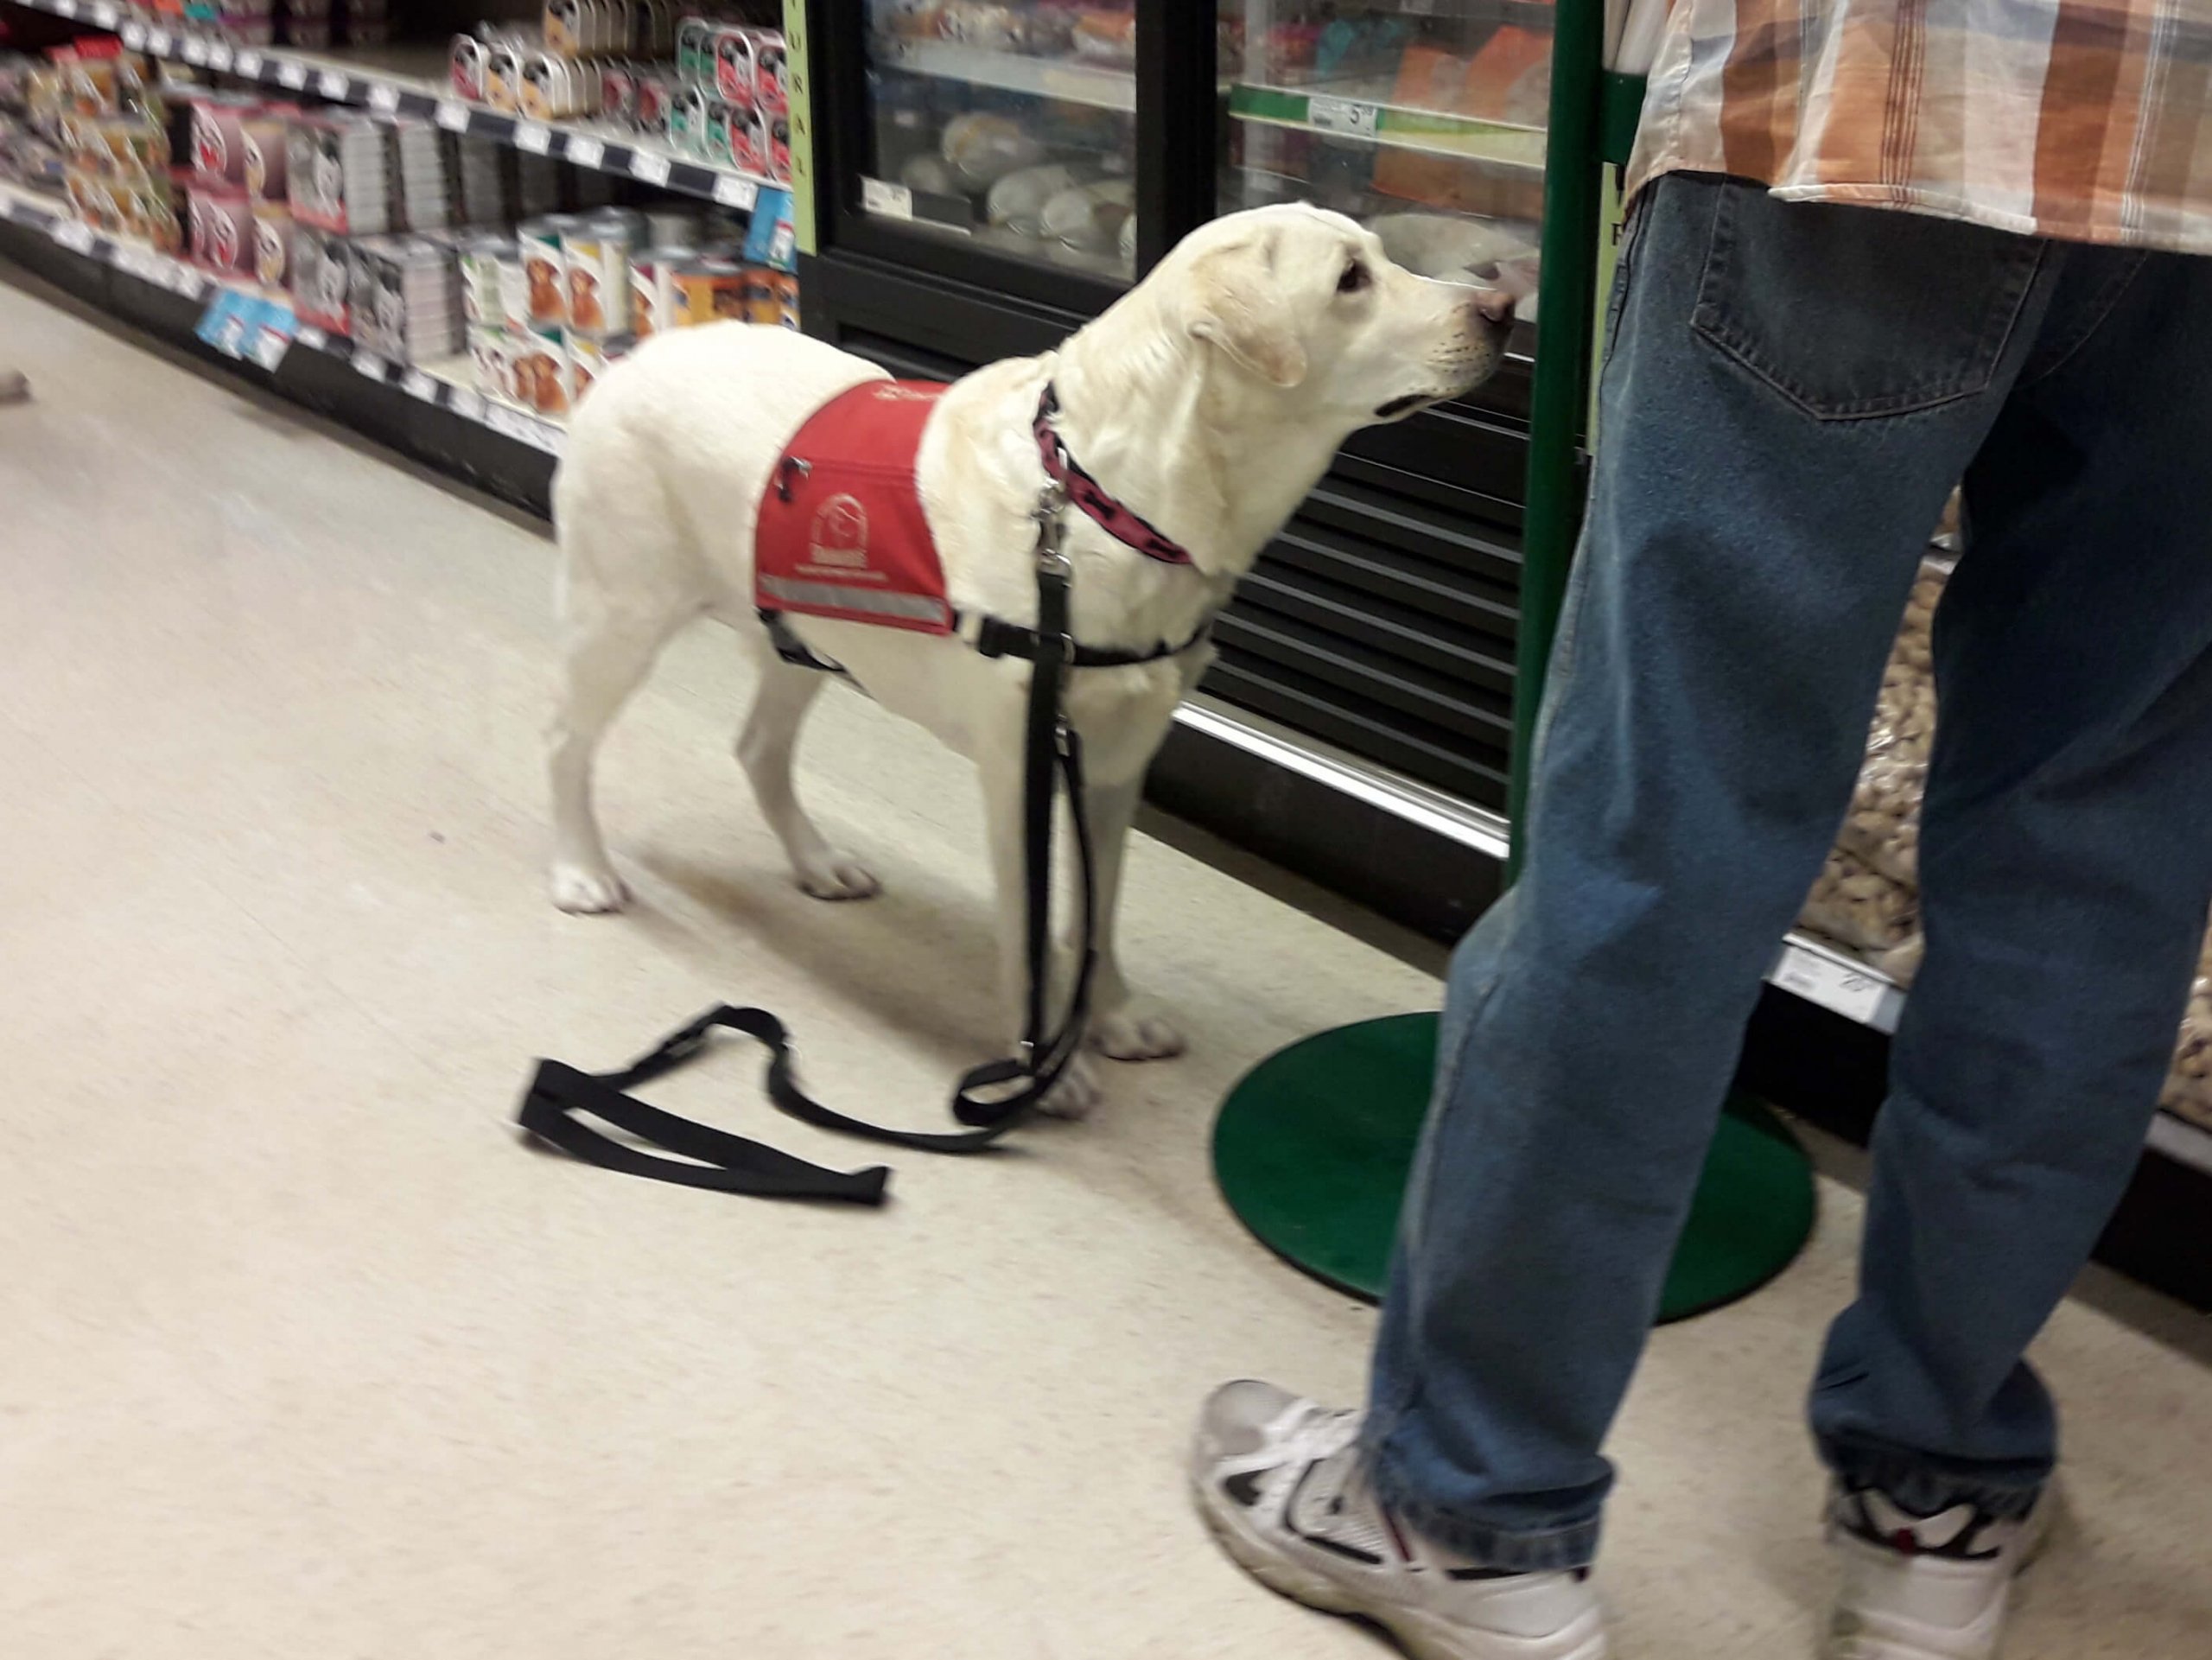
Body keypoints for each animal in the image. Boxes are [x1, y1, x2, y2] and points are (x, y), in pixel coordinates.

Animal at [546, 204, 1513, 1120]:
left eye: (1380, 256)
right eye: (1351, 279)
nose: (1502, 308)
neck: (1104, 501)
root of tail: (643, 349)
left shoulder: (1118, 765)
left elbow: (1097, 911)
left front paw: (1111, 1017)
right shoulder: (1018, 769)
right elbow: (1027, 923)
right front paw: (1040, 1069)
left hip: (801, 634)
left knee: (756, 749)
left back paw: (817, 862)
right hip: (620, 612)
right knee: (566, 742)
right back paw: (582, 869)